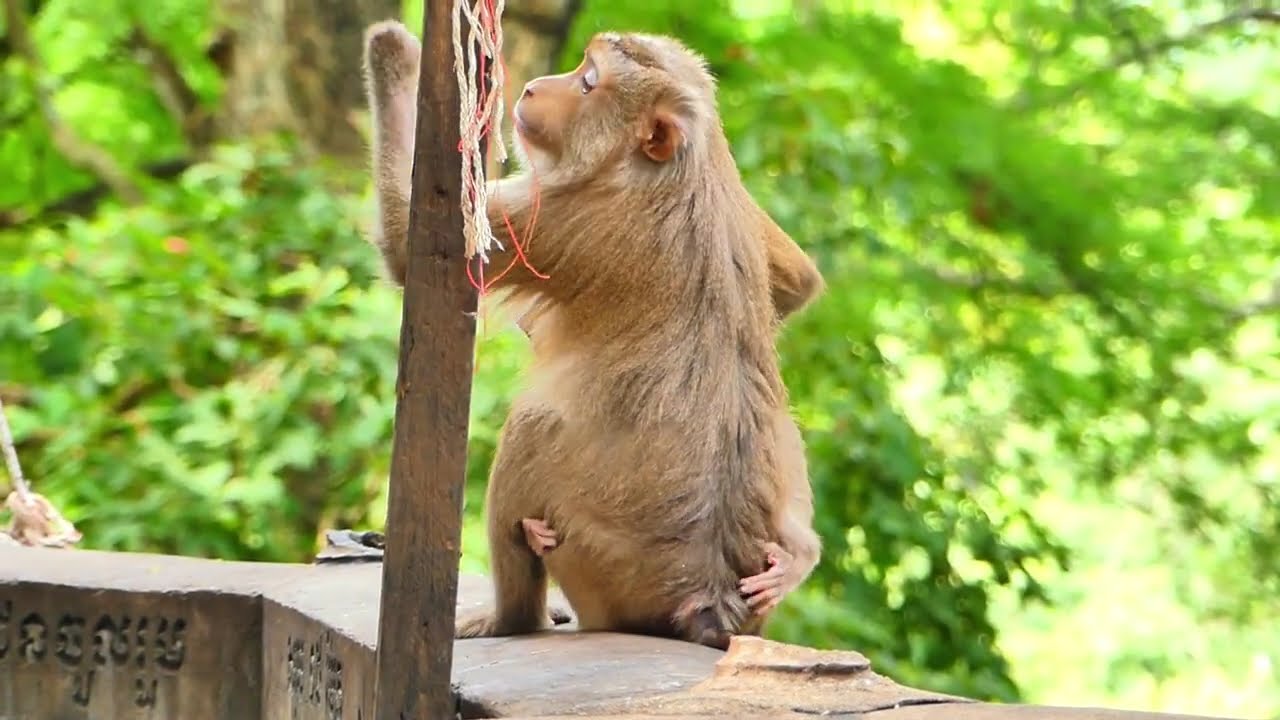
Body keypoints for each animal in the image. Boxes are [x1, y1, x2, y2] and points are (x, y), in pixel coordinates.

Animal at [362, 21, 823, 647]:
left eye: (587, 81)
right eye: (583, 66)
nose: (534, 87)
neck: (656, 167)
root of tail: (705, 596)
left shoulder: (564, 211)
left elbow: (412, 248)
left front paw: (395, 53)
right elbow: (797, 285)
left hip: (593, 559)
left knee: (533, 424)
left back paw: (512, 618)